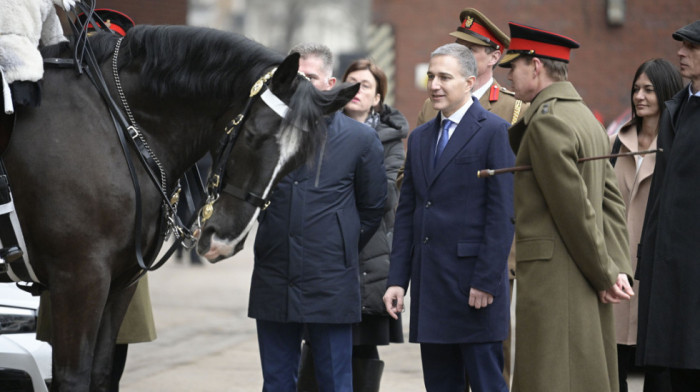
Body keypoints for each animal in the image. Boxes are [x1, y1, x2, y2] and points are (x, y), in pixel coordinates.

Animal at [0, 26, 358, 390]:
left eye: (296, 161)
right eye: (253, 136)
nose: (224, 241)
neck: (115, 125)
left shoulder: (120, 281)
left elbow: (100, 372)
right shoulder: (79, 276)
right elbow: (73, 377)